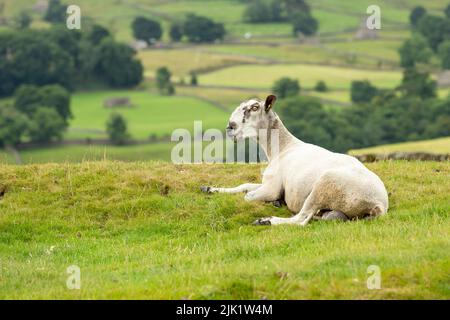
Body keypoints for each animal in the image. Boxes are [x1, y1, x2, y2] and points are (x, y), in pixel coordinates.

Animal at [199, 94, 388, 226]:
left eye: (254, 107)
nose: (230, 127)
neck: (282, 148)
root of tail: (379, 204)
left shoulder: (272, 187)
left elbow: (248, 196)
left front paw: (274, 202)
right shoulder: (268, 182)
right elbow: (243, 186)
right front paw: (210, 188)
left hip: (325, 185)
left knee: (301, 220)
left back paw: (267, 220)